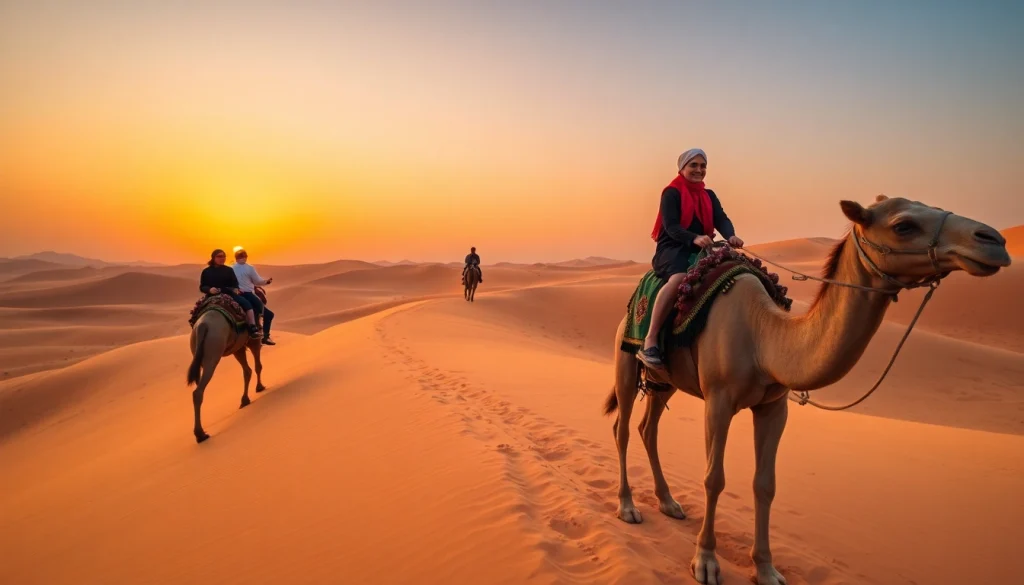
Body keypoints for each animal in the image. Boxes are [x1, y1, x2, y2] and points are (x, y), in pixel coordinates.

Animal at [186, 307, 266, 443]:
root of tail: (202, 326)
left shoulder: (238, 347)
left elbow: (247, 371)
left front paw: (245, 400)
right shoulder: (253, 340)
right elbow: (257, 366)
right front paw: (260, 387)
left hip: (197, 352)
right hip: (213, 352)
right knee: (198, 392)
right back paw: (200, 434)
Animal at [603, 196, 1010, 585]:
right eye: (903, 225)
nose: (993, 241)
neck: (764, 335)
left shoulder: (774, 406)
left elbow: (765, 484)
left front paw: (766, 569)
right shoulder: (718, 400)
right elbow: (713, 478)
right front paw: (705, 561)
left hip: (666, 382)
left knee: (648, 428)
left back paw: (669, 502)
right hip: (625, 357)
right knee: (622, 428)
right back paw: (627, 507)